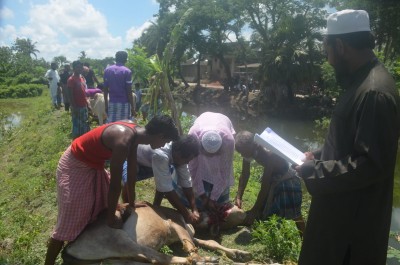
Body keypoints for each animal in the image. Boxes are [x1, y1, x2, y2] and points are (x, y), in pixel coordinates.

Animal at [62, 202, 250, 262]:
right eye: (226, 209)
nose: (245, 214)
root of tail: (70, 246)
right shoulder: (175, 224)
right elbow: (190, 245)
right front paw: (198, 257)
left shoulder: (188, 234)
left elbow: (210, 242)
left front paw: (239, 253)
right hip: (120, 239)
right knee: (158, 257)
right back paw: (203, 261)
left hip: (116, 253)